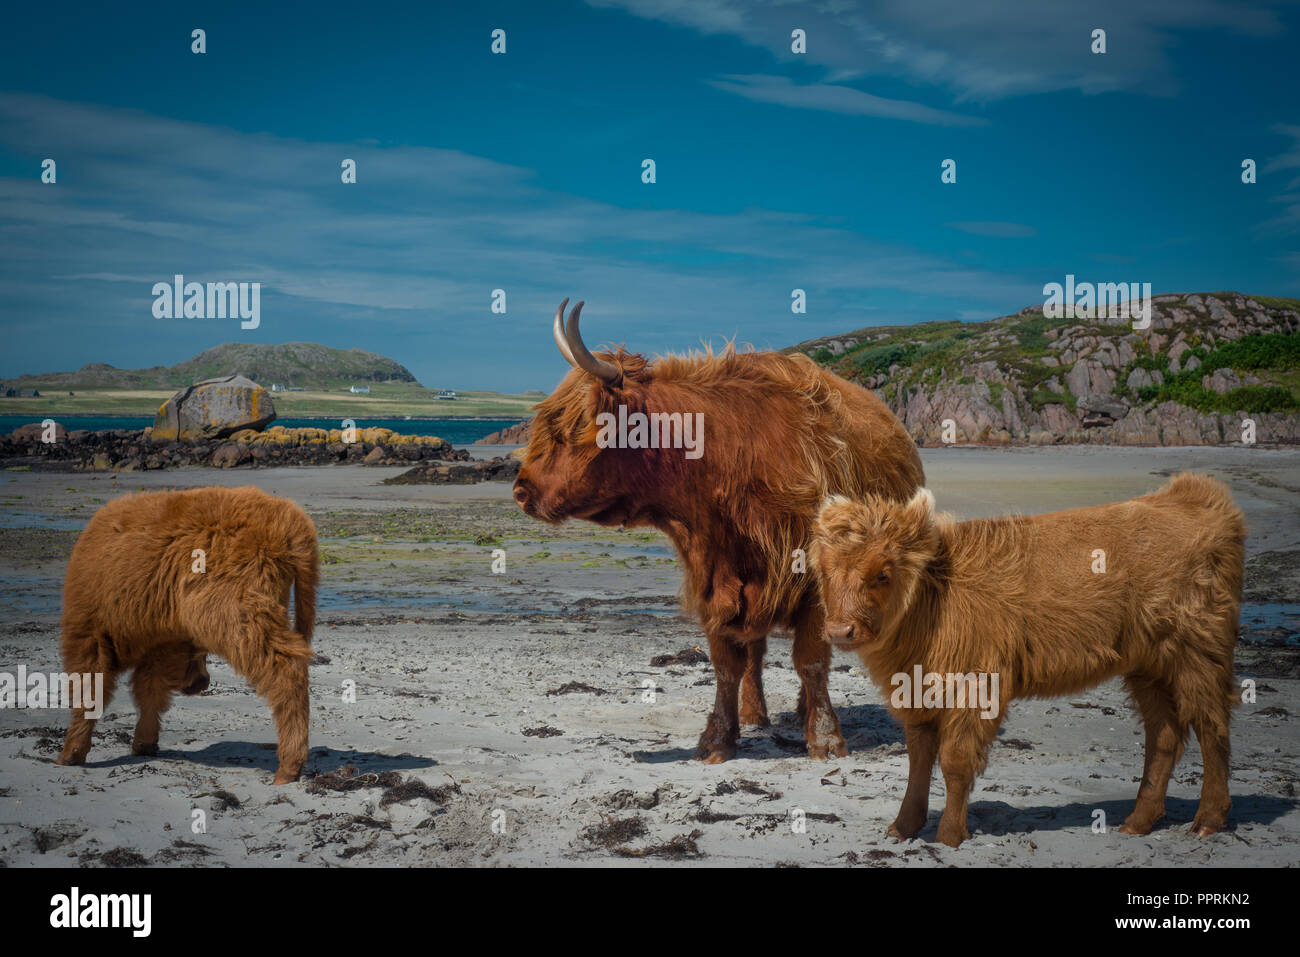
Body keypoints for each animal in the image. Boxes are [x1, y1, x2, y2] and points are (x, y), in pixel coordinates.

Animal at [56, 486, 318, 784]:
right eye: (199, 652)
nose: (201, 683)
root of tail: (289, 517)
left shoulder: (89, 634)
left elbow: (89, 690)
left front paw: (71, 752)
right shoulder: (166, 642)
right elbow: (149, 690)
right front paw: (144, 743)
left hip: (241, 617)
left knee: (287, 667)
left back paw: (289, 766)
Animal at [513, 299, 924, 762]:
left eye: (569, 428)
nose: (521, 490)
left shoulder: (813, 580)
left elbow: (812, 660)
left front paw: (825, 738)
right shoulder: (711, 577)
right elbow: (727, 663)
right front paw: (718, 738)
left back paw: (803, 712)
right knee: (756, 652)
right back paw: (753, 713)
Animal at [810, 474, 1245, 846]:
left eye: (883, 573)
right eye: (824, 572)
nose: (840, 631)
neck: (936, 598)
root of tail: (1194, 494)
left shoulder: (975, 688)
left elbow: (954, 761)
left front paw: (949, 835)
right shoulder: (917, 693)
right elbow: (918, 759)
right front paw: (903, 827)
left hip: (1198, 654)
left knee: (1212, 726)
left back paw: (1208, 819)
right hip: (1149, 667)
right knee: (1165, 736)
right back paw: (1138, 821)